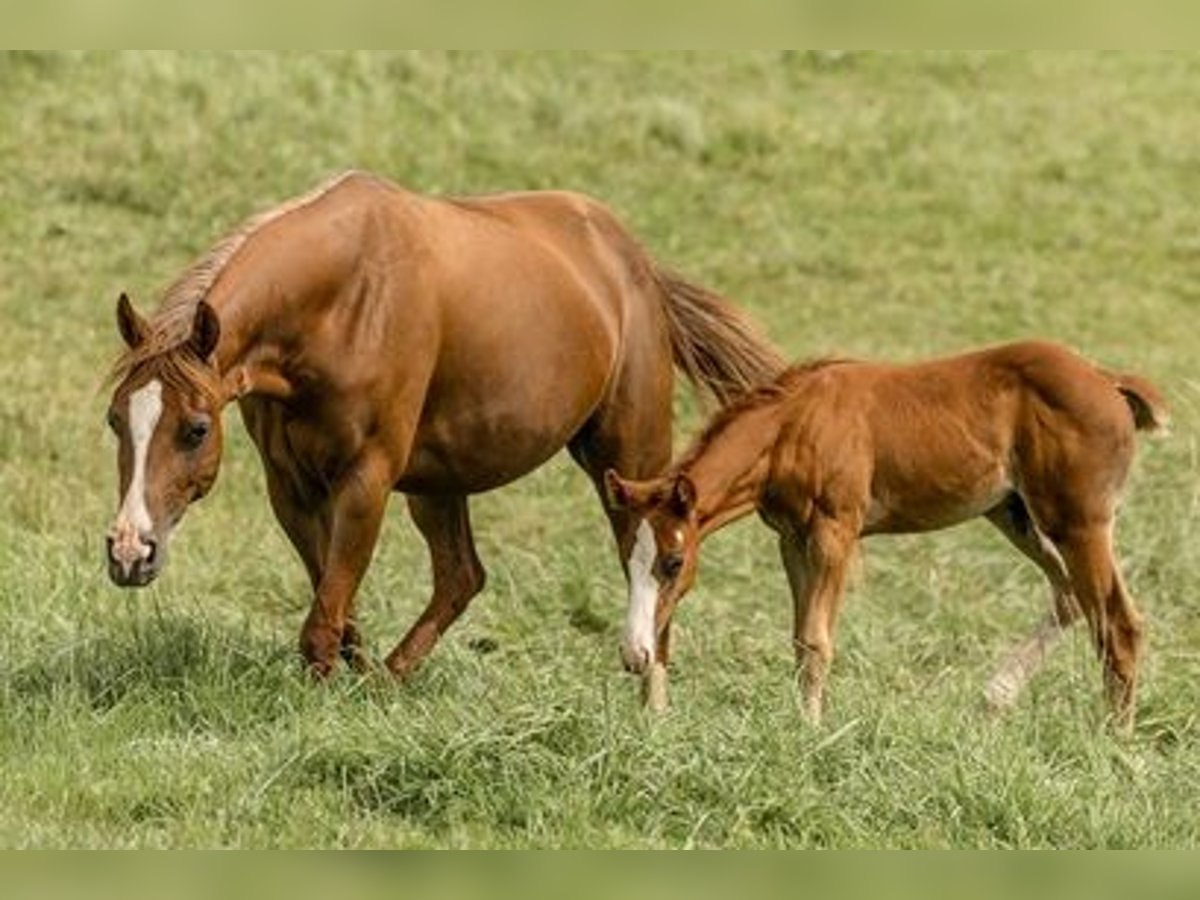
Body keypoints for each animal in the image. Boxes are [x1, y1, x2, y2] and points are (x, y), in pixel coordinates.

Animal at [100, 170, 777, 676]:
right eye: (115, 421)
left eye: (195, 429)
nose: (130, 552)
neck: (341, 301)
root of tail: (636, 265)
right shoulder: (290, 486)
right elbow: (334, 602)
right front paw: (355, 675)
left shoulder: (367, 479)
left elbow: (323, 621)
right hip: (439, 482)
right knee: (461, 577)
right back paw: (389, 681)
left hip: (627, 457)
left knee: (656, 564)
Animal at [604, 340, 1166, 729]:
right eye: (626, 559)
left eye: (673, 562)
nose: (635, 654)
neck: (793, 427)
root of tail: (1106, 379)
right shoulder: (791, 538)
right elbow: (799, 638)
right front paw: (801, 721)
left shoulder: (835, 531)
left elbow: (817, 640)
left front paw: (811, 732)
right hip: (1015, 515)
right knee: (1071, 598)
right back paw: (996, 695)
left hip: (1079, 523)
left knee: (1118, 623)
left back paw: (1114, 742)